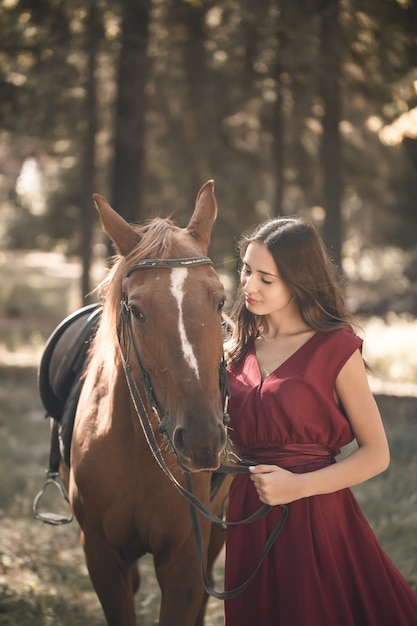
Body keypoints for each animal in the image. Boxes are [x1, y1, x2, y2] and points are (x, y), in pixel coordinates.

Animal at [61, 180, 231, 624]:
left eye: (220, 301)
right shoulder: (102, 556)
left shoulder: (185, 562)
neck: (140, 450)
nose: (203, 440)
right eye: (136, 311)